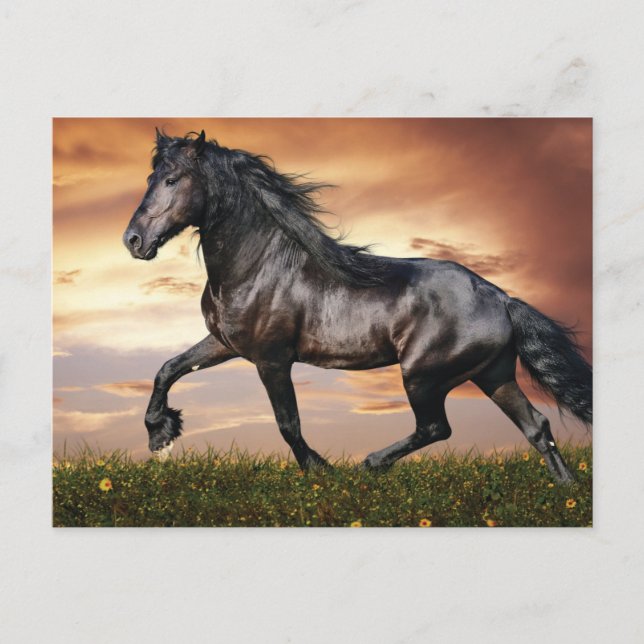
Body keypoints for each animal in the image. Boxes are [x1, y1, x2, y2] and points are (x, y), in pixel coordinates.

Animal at [123, 129, 592, 483]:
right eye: (149, 177)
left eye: (172, 180)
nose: (133, 241)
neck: (258, 265)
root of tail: (501, 298)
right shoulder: (226, 344)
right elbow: (168, 369)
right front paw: (160, 435)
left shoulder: (272, 359)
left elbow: (287, 423)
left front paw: (321, 471)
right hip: (492, 375)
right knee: (536, 427)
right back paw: (564, 491)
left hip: (423, 376)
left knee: (436, 427)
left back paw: (369, 464)